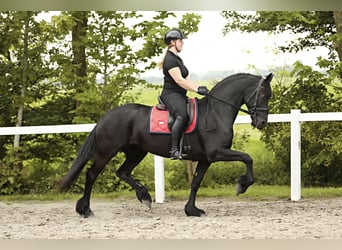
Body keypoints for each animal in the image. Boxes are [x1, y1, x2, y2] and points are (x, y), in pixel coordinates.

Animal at [58, 72, 272, 217]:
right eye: (263, 94)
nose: (261, 123)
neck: (215, 113)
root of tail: (105, 117)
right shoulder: (217, 153)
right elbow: (247, 158)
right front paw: (242, 185)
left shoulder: (205, 159)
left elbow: (195, 183)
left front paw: (192, 210)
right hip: (106, 152)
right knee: (91, 175)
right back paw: (85, 210)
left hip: (136, 152)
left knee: (122, 172)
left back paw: (144, 197)